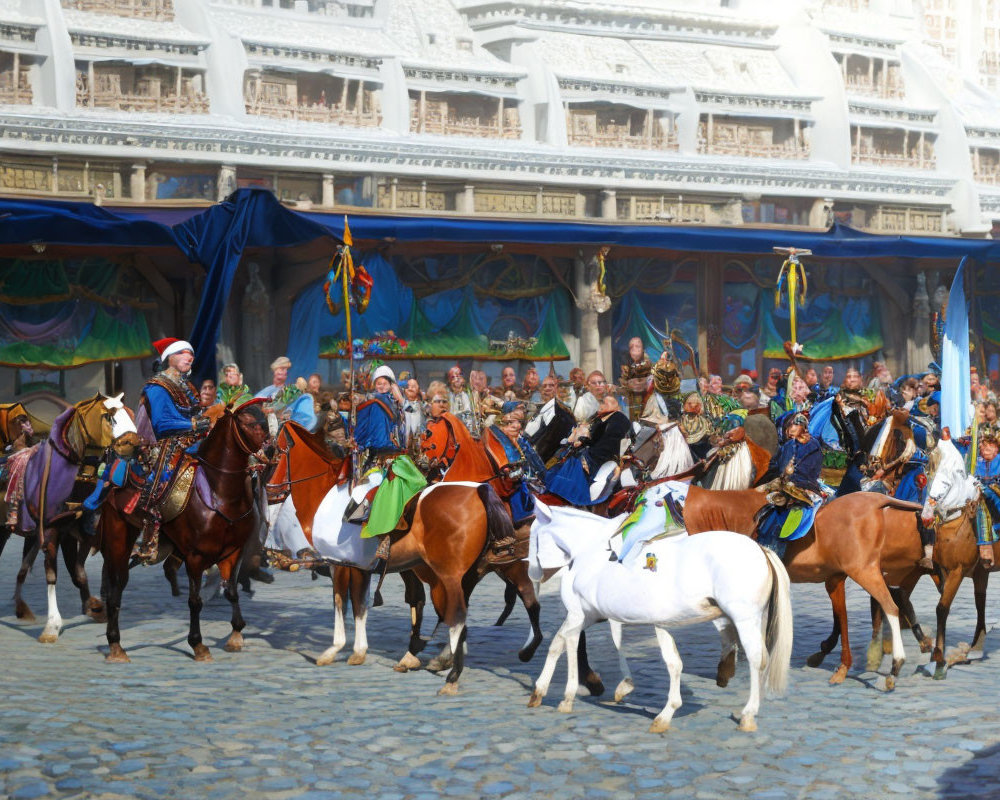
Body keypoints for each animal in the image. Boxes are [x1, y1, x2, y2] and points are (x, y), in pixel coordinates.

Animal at [98, 404, 270, 664]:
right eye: (249, 423)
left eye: (266, 420)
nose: (270, 448)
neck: (221, 494)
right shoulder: (195, 557)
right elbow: (195, 601)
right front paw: (198, 644)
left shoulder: (233, 552)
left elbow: (231, 592)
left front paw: (236, 635)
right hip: (118, 536)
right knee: (116, 586)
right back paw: (115, 645)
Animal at [528, 504, 792, 736]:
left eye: (533, 536)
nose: (532, 574)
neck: (590, 553)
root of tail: (761, 549)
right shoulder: (598, 616)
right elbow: (562, 643)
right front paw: (539, 691)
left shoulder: (579, 613)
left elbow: (573, 642)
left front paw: (567, 696)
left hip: (745, 619)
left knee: (757, 658)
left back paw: (748, 714)